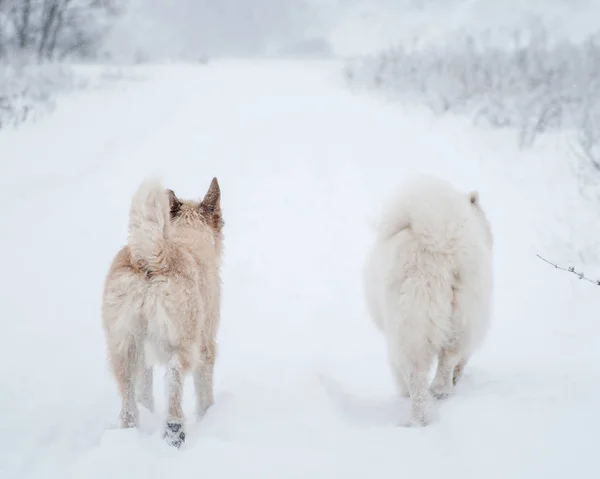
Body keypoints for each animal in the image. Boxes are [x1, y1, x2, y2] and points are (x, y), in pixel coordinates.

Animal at [102, 178, 224, 448]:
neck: (188, 234)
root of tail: (150, 257)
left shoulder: (143, 351)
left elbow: (145, 390)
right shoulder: (205, 346)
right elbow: (204, 392)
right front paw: (209, 415)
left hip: (124, 347)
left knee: (129, 398)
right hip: (181, 343)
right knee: (174, 383)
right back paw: (174, 431)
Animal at [364, 175, 494, 428]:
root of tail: (442, 245)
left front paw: (403, 391)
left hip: (413, 314)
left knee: (416, 369)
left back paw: (420, 415)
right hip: (465, 307)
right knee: (450, 354)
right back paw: (441, 390)